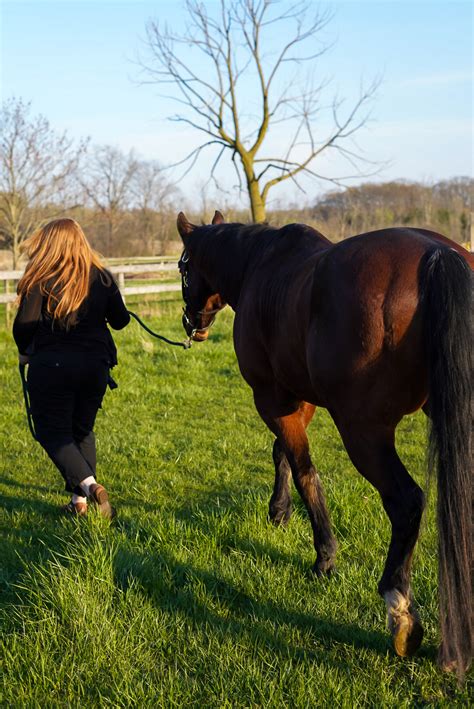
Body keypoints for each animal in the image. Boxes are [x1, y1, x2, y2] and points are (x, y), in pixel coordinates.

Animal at [176, 210, 472, 676]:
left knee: (406, 501)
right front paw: (279, 511)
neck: (260, 265)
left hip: (363, 431)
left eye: (183, 268)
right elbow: (282, 453)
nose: (193, 324)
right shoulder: (299, 396)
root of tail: (438, 254)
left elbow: (304, 470)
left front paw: (324, 556)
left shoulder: (271, 398)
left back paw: (399, 608)